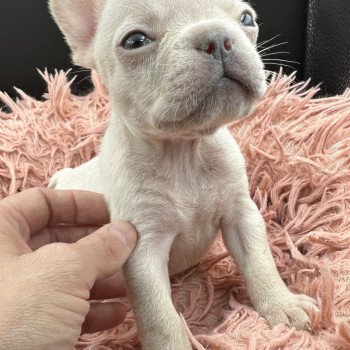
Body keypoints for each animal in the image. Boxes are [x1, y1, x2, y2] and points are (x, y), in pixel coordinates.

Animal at [47, 1, 318, 348]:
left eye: (246, 18)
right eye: (135, 41)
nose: (217, 38)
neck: (184, 152)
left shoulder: (241, 214)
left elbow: (260, 261)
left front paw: (282, 305)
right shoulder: (143, 250)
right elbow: (159, 314)